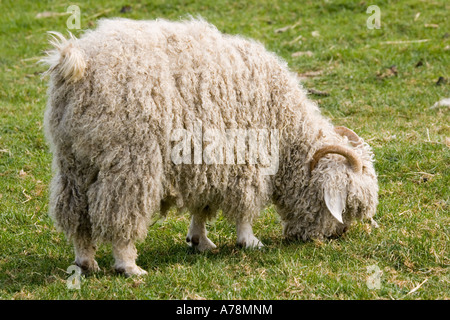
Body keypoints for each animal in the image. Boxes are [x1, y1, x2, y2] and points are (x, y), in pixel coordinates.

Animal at [43, 18, 380, 276]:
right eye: (347, 207)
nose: (338, 235)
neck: (286, 127)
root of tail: (76, 62)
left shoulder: (207, 162)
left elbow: (202, 206)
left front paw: (199, 240)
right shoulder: (245, 158)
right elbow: (244, 207)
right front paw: (249, 240)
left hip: (73, 159)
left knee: (74, 211)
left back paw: (85, 261)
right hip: (129, 158)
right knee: (120, 213)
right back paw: (128, 265)